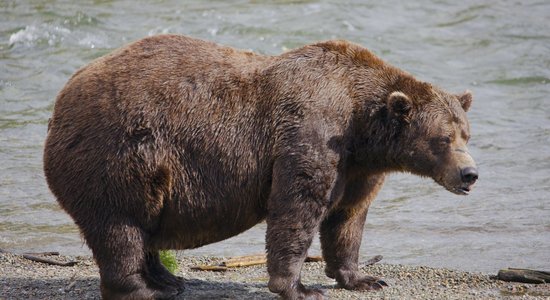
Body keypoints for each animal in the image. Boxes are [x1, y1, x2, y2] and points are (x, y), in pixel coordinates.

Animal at [44, 34, 478, 298]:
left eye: (466, 134)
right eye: (443, 138)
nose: (470, 174)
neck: (361, 126)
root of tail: (60, 101)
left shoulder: (358, 168)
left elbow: (348, 218)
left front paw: (364, 277)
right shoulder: (311, 133)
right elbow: (296, 208)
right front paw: (299, 287)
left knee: (143, 226)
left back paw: (168, 279)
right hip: (118, 154)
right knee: (121, 227)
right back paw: (143, 288)